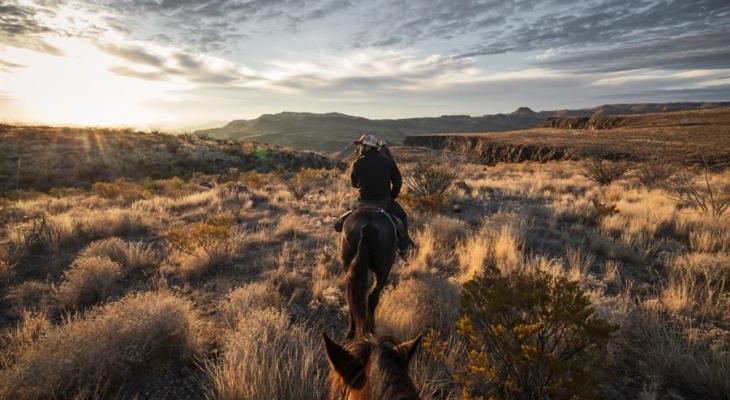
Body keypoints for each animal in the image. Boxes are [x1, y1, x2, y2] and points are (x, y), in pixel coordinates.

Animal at [338, 208, 396, 340]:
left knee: (352, 299)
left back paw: (351, 333)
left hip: (348, 266)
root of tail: (368, 227)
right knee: (372, 298)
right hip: (382, 272)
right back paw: (371, 330)